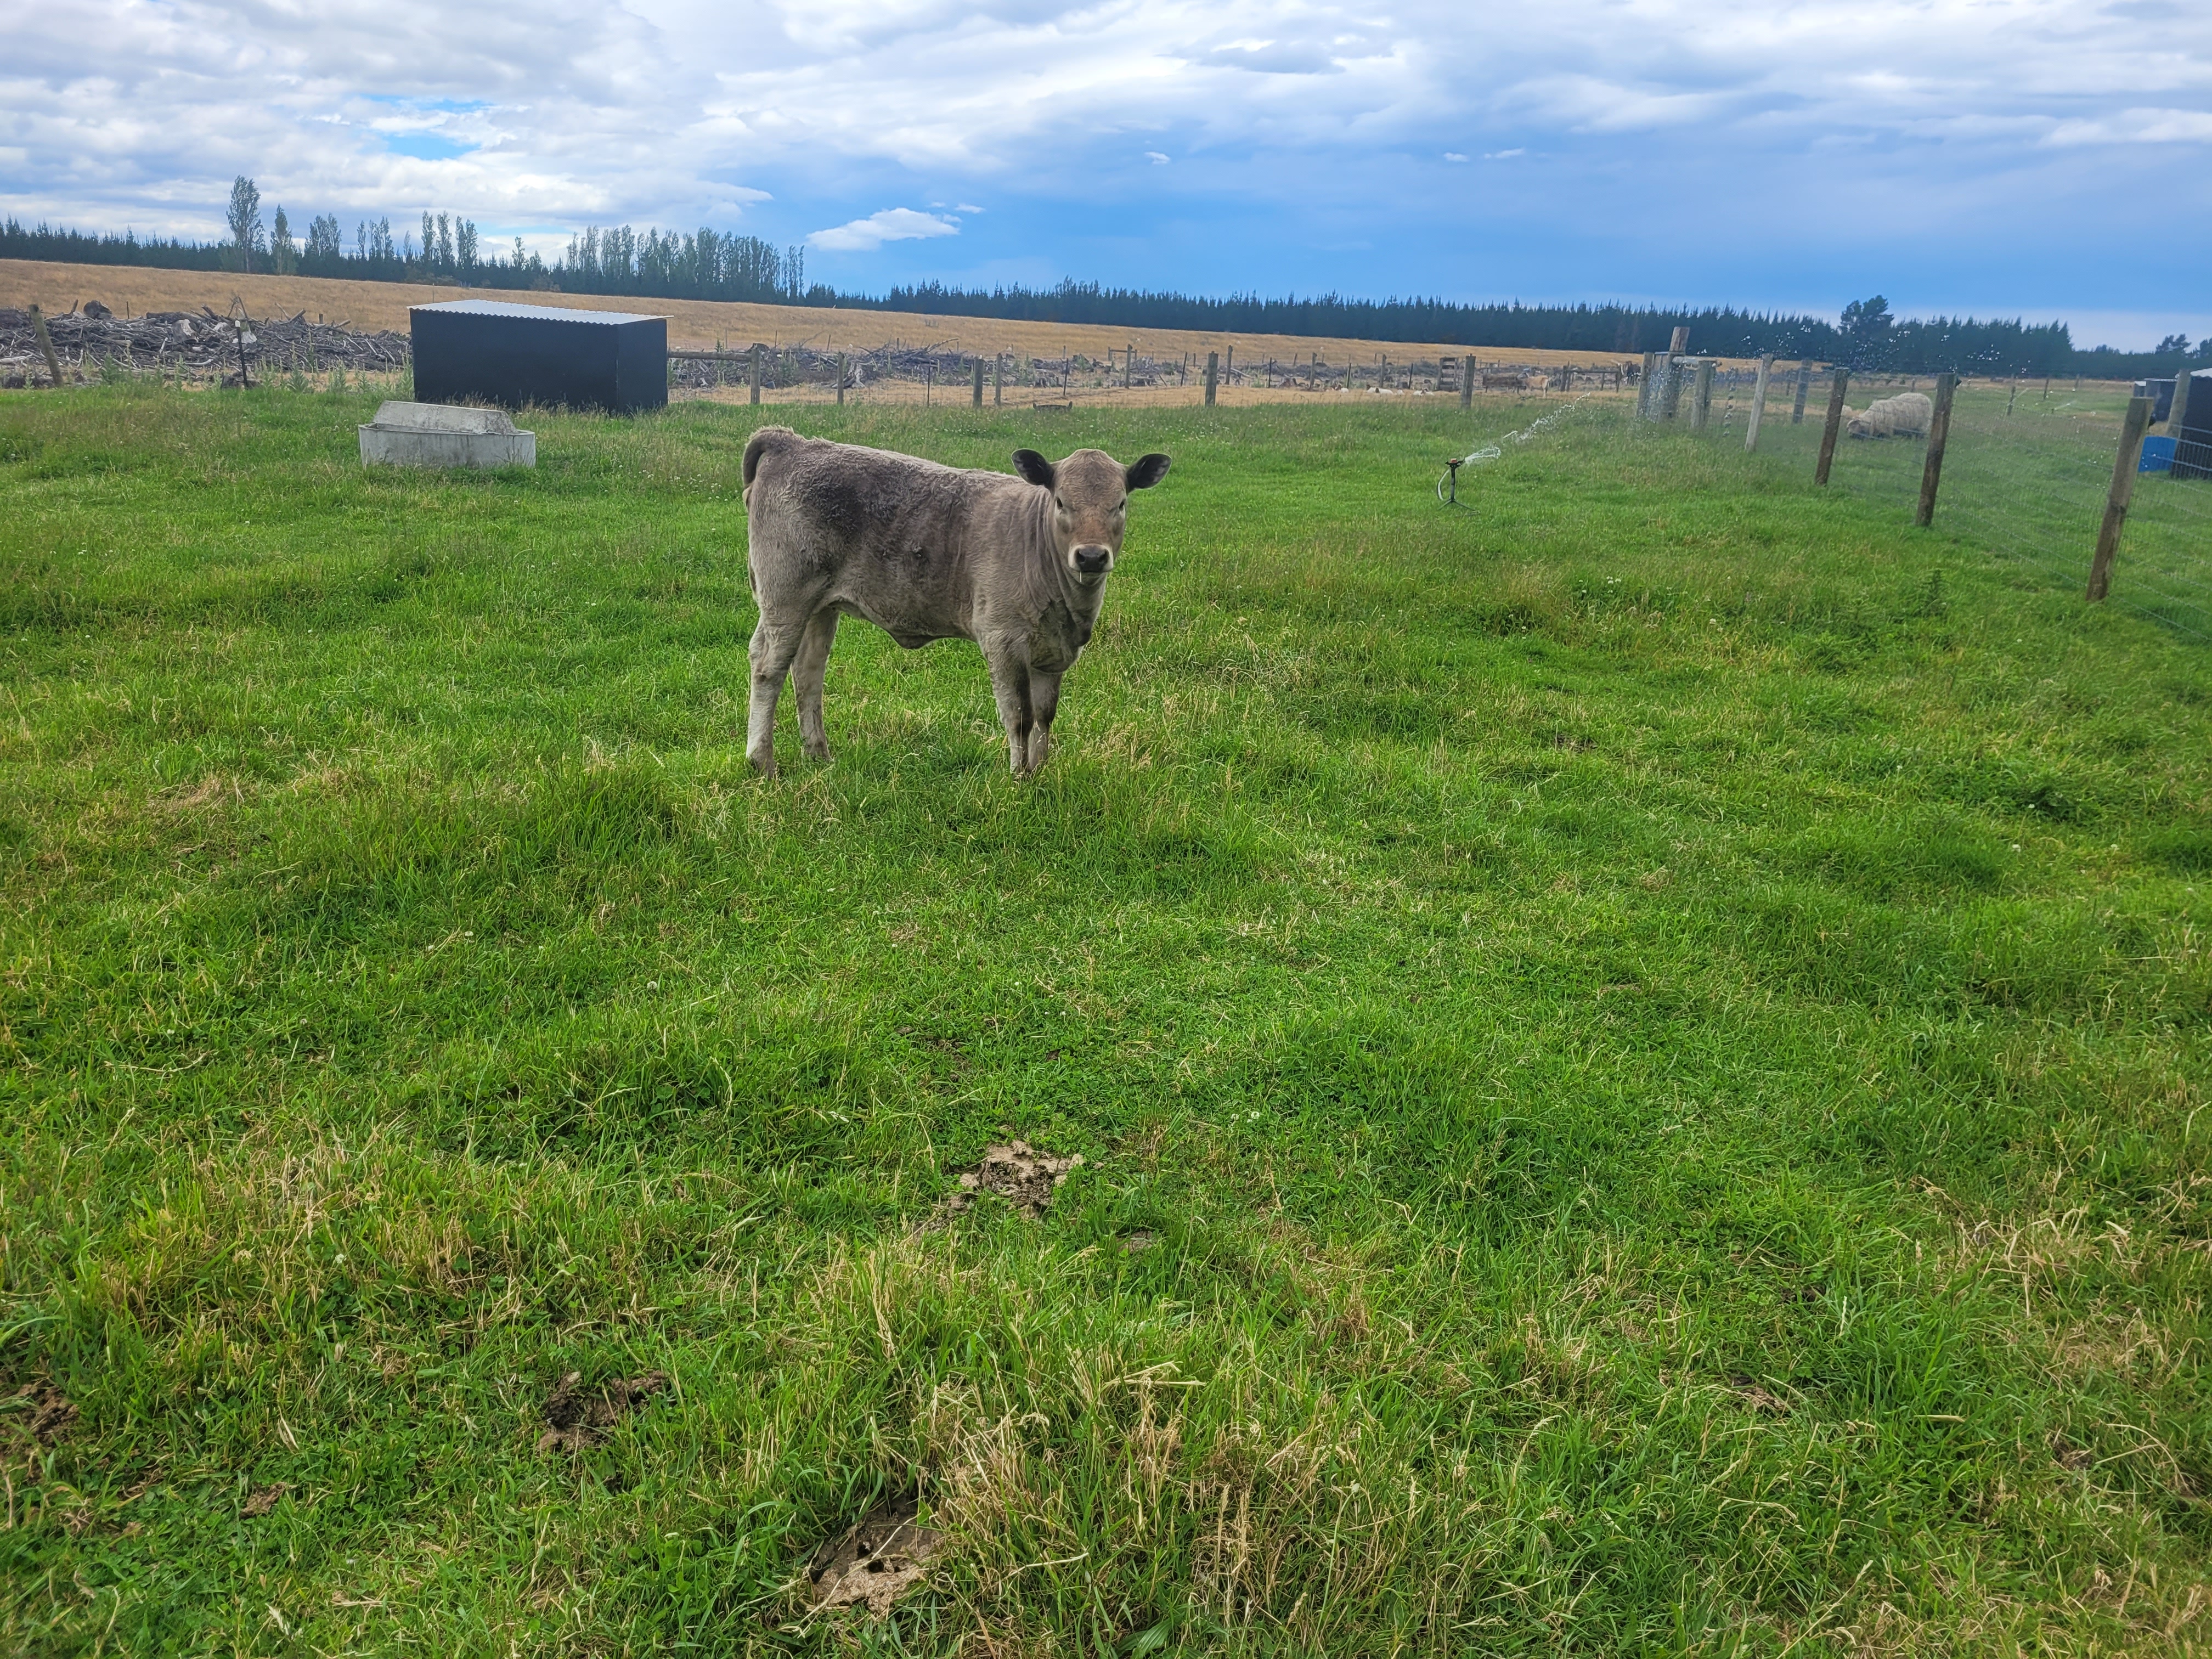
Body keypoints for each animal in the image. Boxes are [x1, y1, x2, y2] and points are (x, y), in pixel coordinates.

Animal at [739, 428, 1171, 778]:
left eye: (1121, 504)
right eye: (1062, 502)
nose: (1092, 556)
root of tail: (793, 442)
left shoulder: (1054, 653)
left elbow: (1045, 716)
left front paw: (1041, 771)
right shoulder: (1003, 641)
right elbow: (1020, 716)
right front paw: (1020, 779)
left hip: (820, 607)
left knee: (808, 673)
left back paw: (819, 755)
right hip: (786, 599)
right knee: (768, 668)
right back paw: (762, 761)